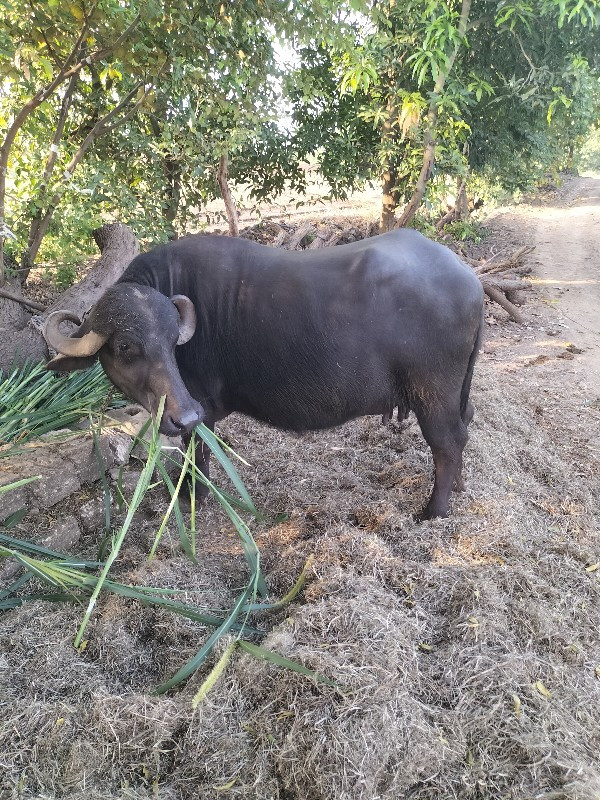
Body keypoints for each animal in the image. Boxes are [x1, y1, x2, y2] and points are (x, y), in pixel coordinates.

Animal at [47, 230, 488, 520]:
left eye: (173, 340)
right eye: (125, 346)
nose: (182, 414)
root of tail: (470, 280)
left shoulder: (200, 409)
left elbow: (196, 454)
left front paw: (194, 499)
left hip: (433, 393)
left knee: (448, 443)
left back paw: (433, 511)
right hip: (456, 392)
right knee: (464, 426)